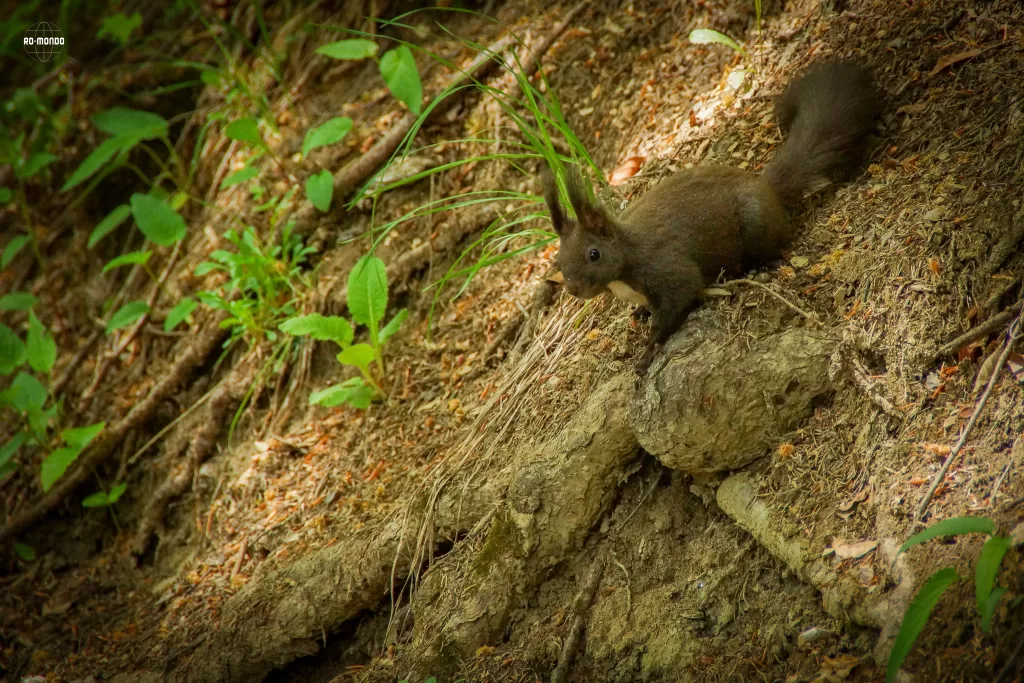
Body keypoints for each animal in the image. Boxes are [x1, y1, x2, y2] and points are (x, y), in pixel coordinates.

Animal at [544, 60, 880, 374]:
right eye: (559, 261)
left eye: (594, 254)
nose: (572, 288)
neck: (626, 258)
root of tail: (766, 187)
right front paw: (640, 314)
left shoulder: (665, 268)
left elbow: (679, 298)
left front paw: (647, 353)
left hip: (755, 220)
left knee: (772, 247)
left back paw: (758, 266)